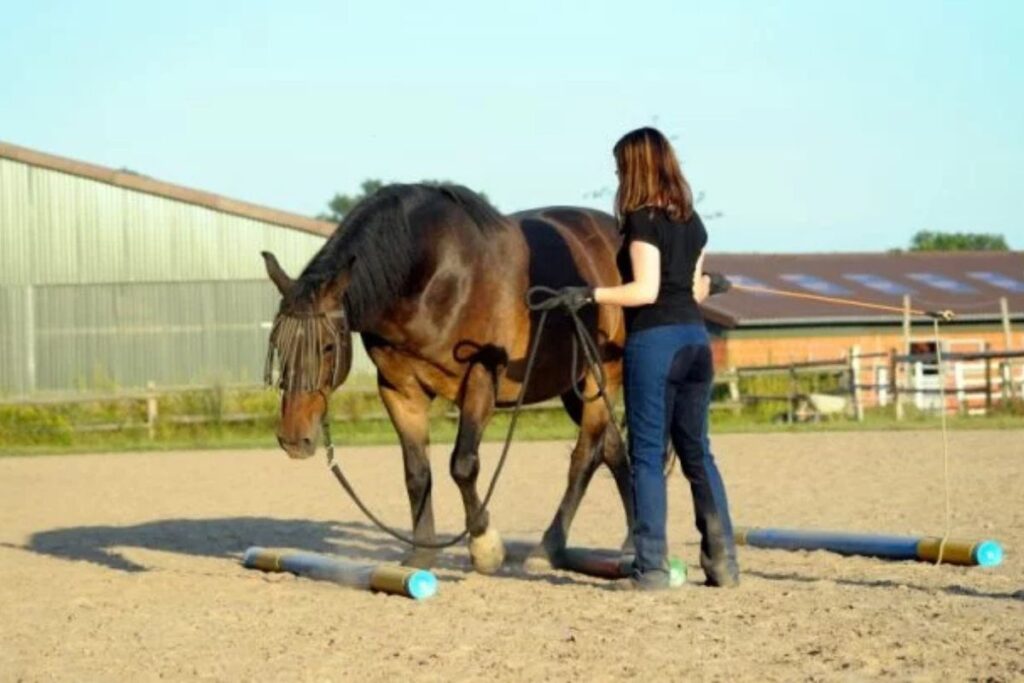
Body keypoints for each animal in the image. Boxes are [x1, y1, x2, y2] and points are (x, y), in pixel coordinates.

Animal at [262, 184, 630, 573]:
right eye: (278, 344)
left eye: (328, 346)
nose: (293, 437)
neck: (436, 278)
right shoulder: (399, 390)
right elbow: (416, 472)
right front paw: (423, 552)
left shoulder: (481, 378)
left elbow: (463, 465)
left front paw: (485, 546)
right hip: (574, 387)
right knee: (614, 450)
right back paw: (631, 542)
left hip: (601, 377)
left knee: (585, 457)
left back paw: (549, 548)